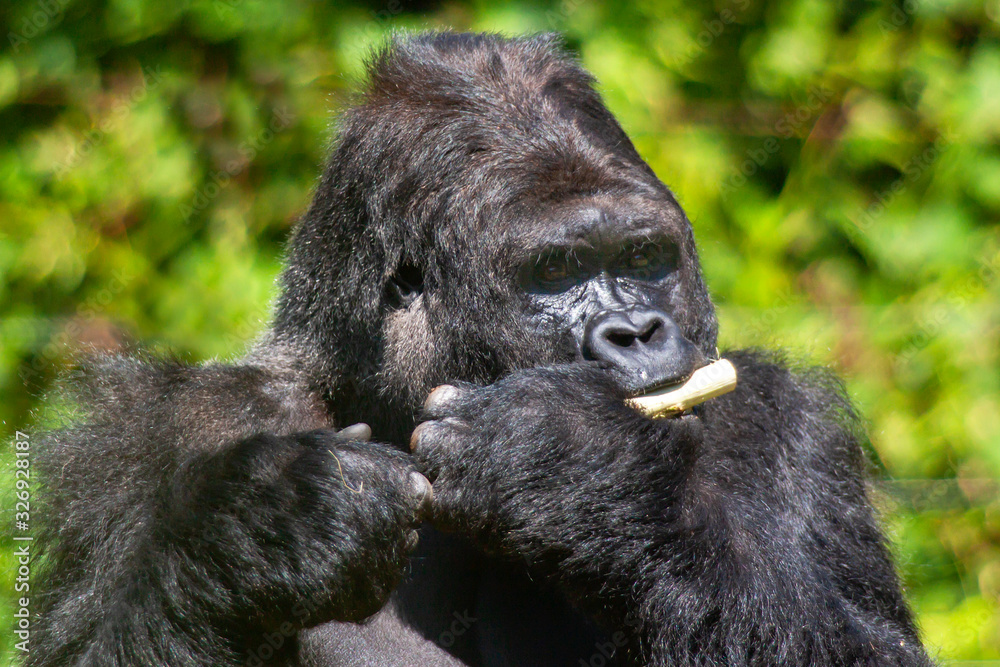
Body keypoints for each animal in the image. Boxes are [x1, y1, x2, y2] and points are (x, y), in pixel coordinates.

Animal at [35, 32, 932, 667]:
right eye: (556, 271)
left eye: (645, 258)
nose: (640, 332)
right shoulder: (146, 430)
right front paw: (272, 530)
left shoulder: (792, 425)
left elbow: (869, 647)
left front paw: (575, 469)